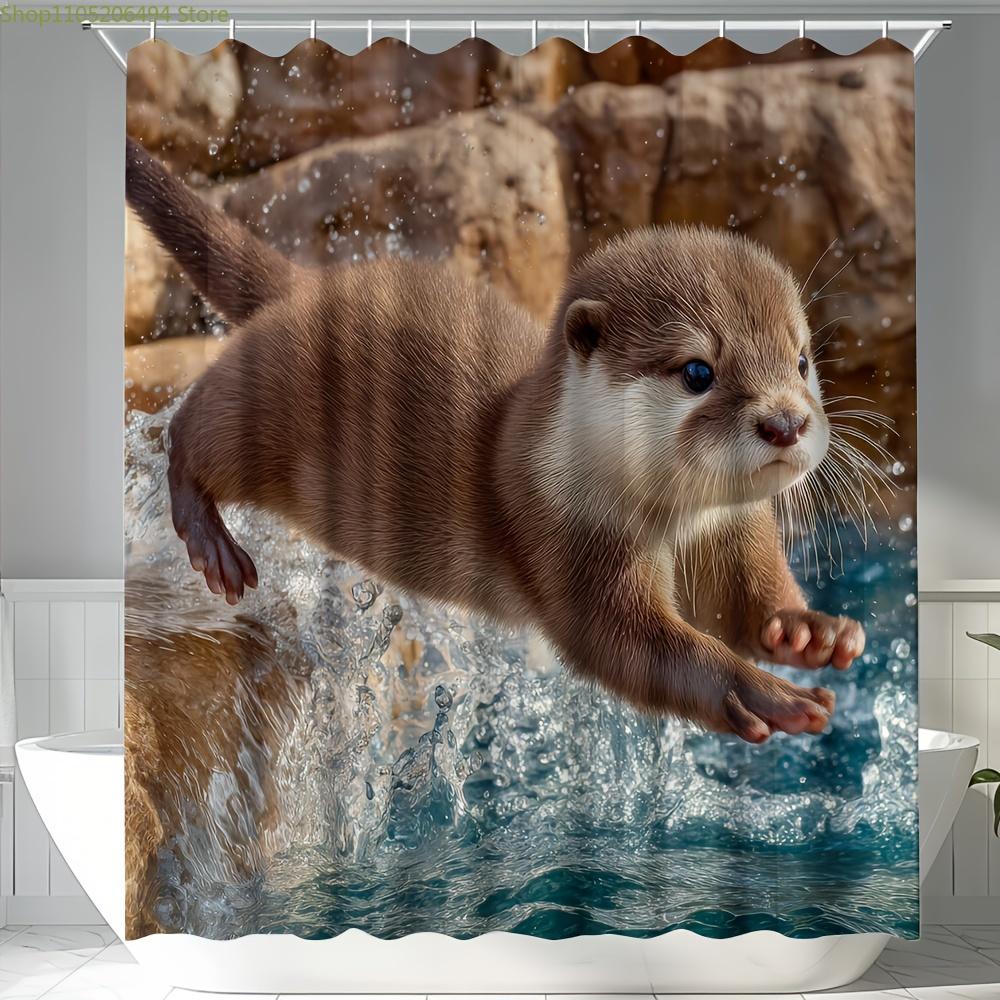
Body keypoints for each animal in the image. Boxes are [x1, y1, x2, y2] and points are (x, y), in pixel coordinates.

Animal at [125, 137, 866, 744]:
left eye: (801, 359)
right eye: (697, 372)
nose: (786, 423)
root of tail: (306, 286)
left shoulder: (731, 530)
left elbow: (744, 603)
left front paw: (808, 630)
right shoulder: (565, 537)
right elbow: (633, 649)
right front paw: (764, 693)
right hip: (263, 405)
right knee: (192, 426)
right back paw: (213, 546)